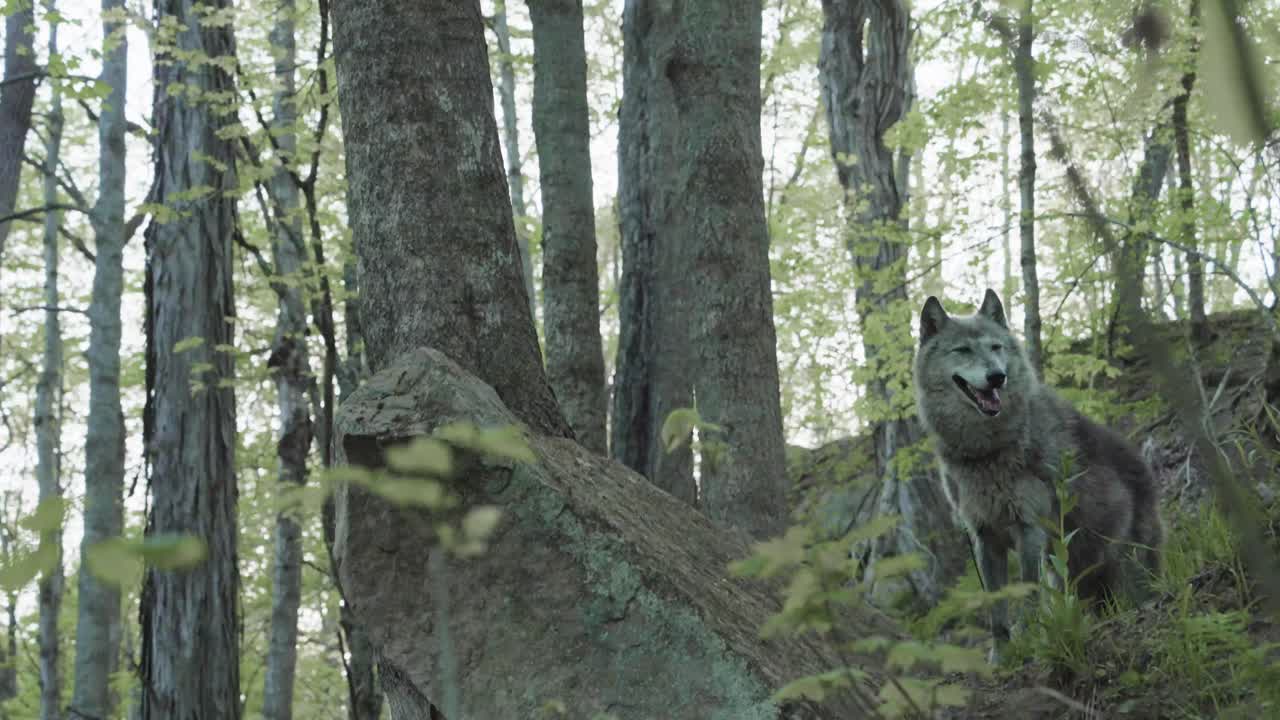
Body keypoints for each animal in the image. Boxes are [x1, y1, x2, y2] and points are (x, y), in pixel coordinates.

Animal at [913, 289, 1163, 659]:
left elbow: (1029, 597)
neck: (986, 451)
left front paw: (1031, 644)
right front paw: (1002, 657)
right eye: (962, 350)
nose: (997, 376)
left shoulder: (1028, 527)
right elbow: (996, 609)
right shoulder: (984, 536)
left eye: (996, 347)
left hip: (1110, 564)